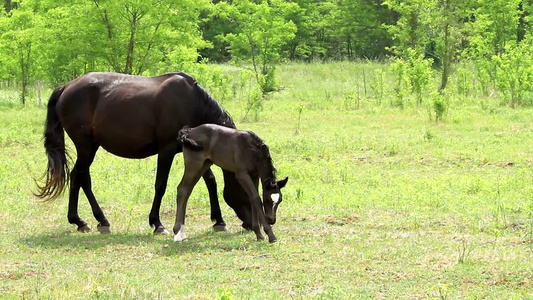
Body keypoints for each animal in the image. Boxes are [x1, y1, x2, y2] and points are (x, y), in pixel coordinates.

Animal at [33, 72, 254, 234]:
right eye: (247, 189)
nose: (252, 224)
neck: (192, 104)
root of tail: (66, 87)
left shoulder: (196, 151)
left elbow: (210, 182)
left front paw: (219, 221)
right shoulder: (166, 151)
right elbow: (161, 185)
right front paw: (157, 223)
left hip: (89, 147)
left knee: (79, 178)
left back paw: (88, 221)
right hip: (86, 146)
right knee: (80, 177)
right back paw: (89, 220)